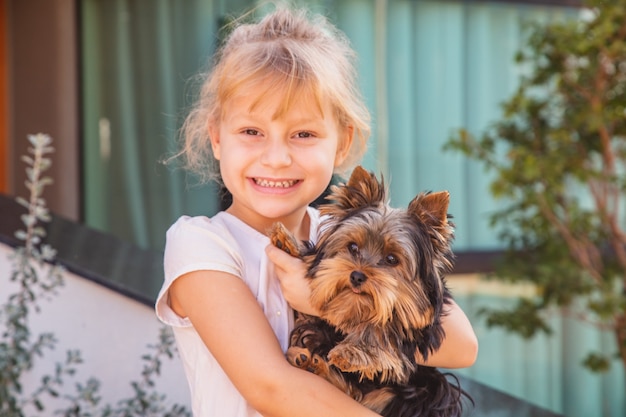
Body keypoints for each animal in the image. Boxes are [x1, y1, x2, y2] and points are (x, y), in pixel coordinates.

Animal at [266, 166, 468, 416]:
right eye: (352, 247)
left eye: (392, 259)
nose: (357, 275)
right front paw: (291, 246)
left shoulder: (425, 326)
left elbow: (386, 324)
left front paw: (352, 351)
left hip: (428, 393)